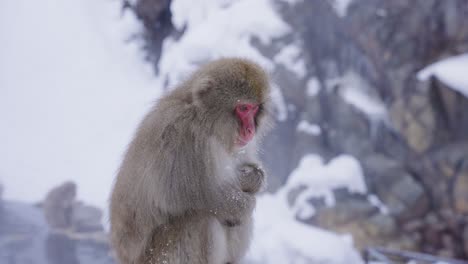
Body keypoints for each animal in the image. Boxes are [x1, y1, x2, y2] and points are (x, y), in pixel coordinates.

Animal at [109, 58, 270, 264]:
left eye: (255, 108)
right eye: (243, 108)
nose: (250, 130)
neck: (207, 123)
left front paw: (253, 177)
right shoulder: (181, 136)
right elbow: (194, 194)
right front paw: (246, 199)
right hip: (162, 253)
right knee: (202, 217)